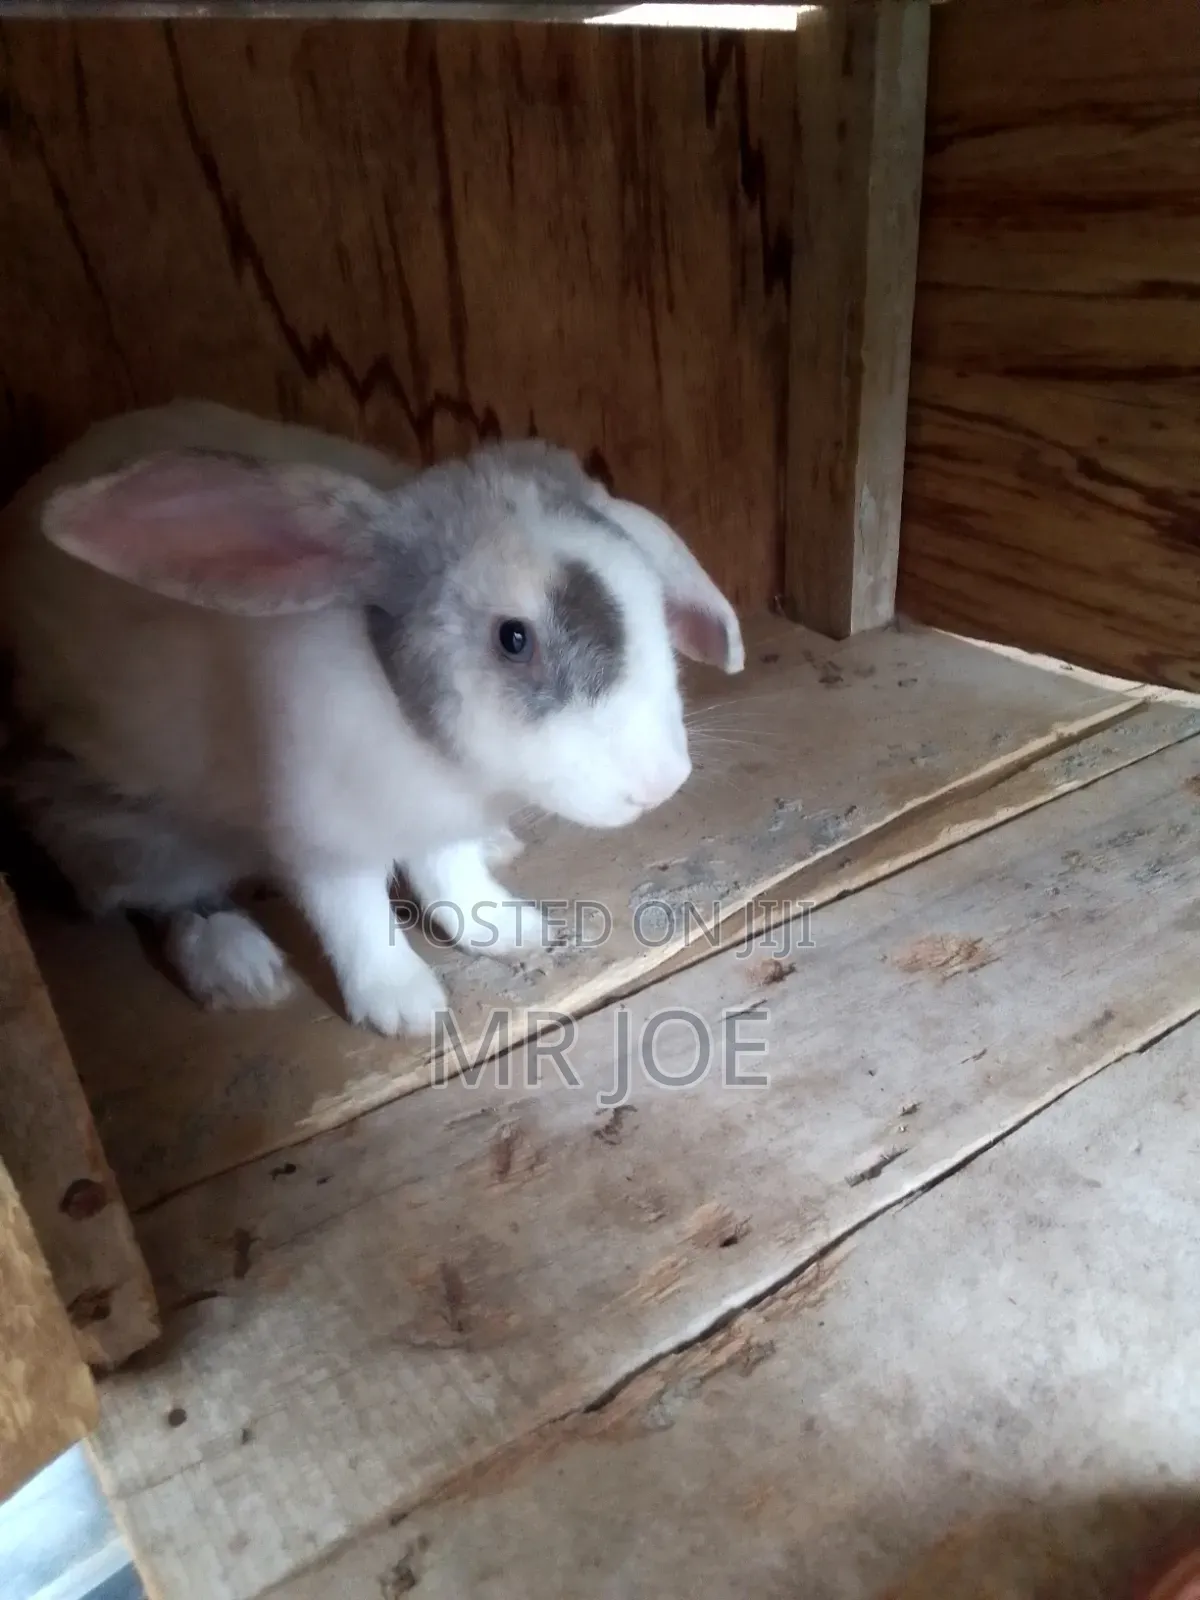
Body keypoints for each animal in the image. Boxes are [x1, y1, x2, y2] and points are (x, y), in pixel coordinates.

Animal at [0, 399, 744, 1037]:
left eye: (651, 593)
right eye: (513, 638)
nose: (663, 782)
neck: (432, 749)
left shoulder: (438, 828)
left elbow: (452, 881)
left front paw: (514, 932)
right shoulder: (325, 843)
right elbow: (356, 919)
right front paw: (408, 1009)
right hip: (123, 827)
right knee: (162, 898)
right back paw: (243, 969)